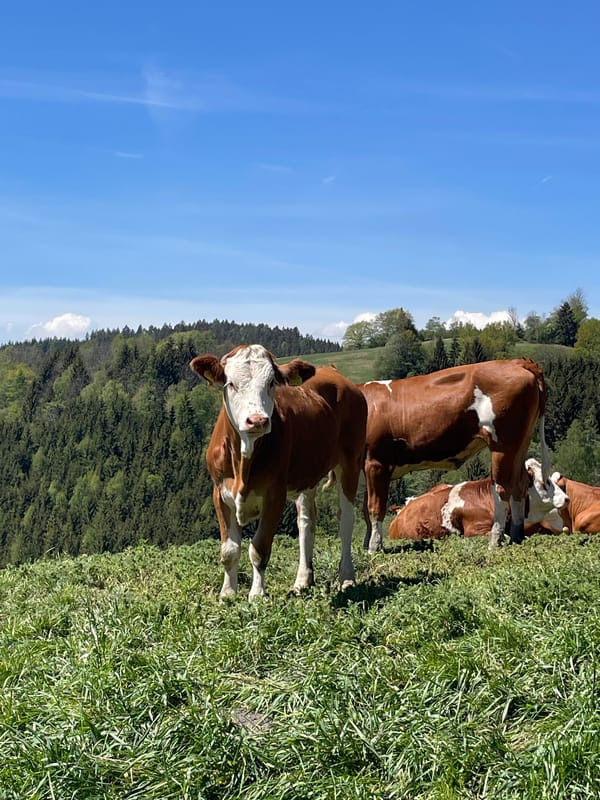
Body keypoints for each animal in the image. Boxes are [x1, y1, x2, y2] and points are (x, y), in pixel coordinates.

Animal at [190, 344, 368, 600]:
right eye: (231, 383)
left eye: (271, 383)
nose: (257, 420)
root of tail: (335, 372)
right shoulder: (219, 493)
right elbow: (229, 550)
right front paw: (228, 594)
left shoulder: (274, 495)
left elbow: (259, 549)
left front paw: (256, 595)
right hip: (308, 473)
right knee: (306, 521)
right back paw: (303, 580)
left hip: (351, 462)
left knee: (346, 520)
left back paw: (347, 578)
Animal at [359, 358, 550, 553]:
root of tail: (515, 362)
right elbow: (365, 510)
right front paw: (366, 544)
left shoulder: (376, 463)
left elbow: (374, 508)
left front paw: (373, 547)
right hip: (520, 443)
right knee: (520, 484)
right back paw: (517, 536)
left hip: (503, 444)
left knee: (503, 488)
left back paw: (495, 540)